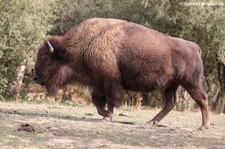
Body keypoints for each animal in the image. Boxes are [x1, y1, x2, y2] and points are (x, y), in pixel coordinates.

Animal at [34, 17, 209, 129]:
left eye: (46, 58)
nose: (36, 77)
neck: (85, 44)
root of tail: (194, 46)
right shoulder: (99, 82)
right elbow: (96, 100)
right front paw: (104, 114)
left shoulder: (110, 82)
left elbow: (111, 100)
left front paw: (107, 116)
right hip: (171, 85)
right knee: (170, 103)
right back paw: (151, 122)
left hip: (190, 82)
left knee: (202, 98)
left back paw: (203, 127)